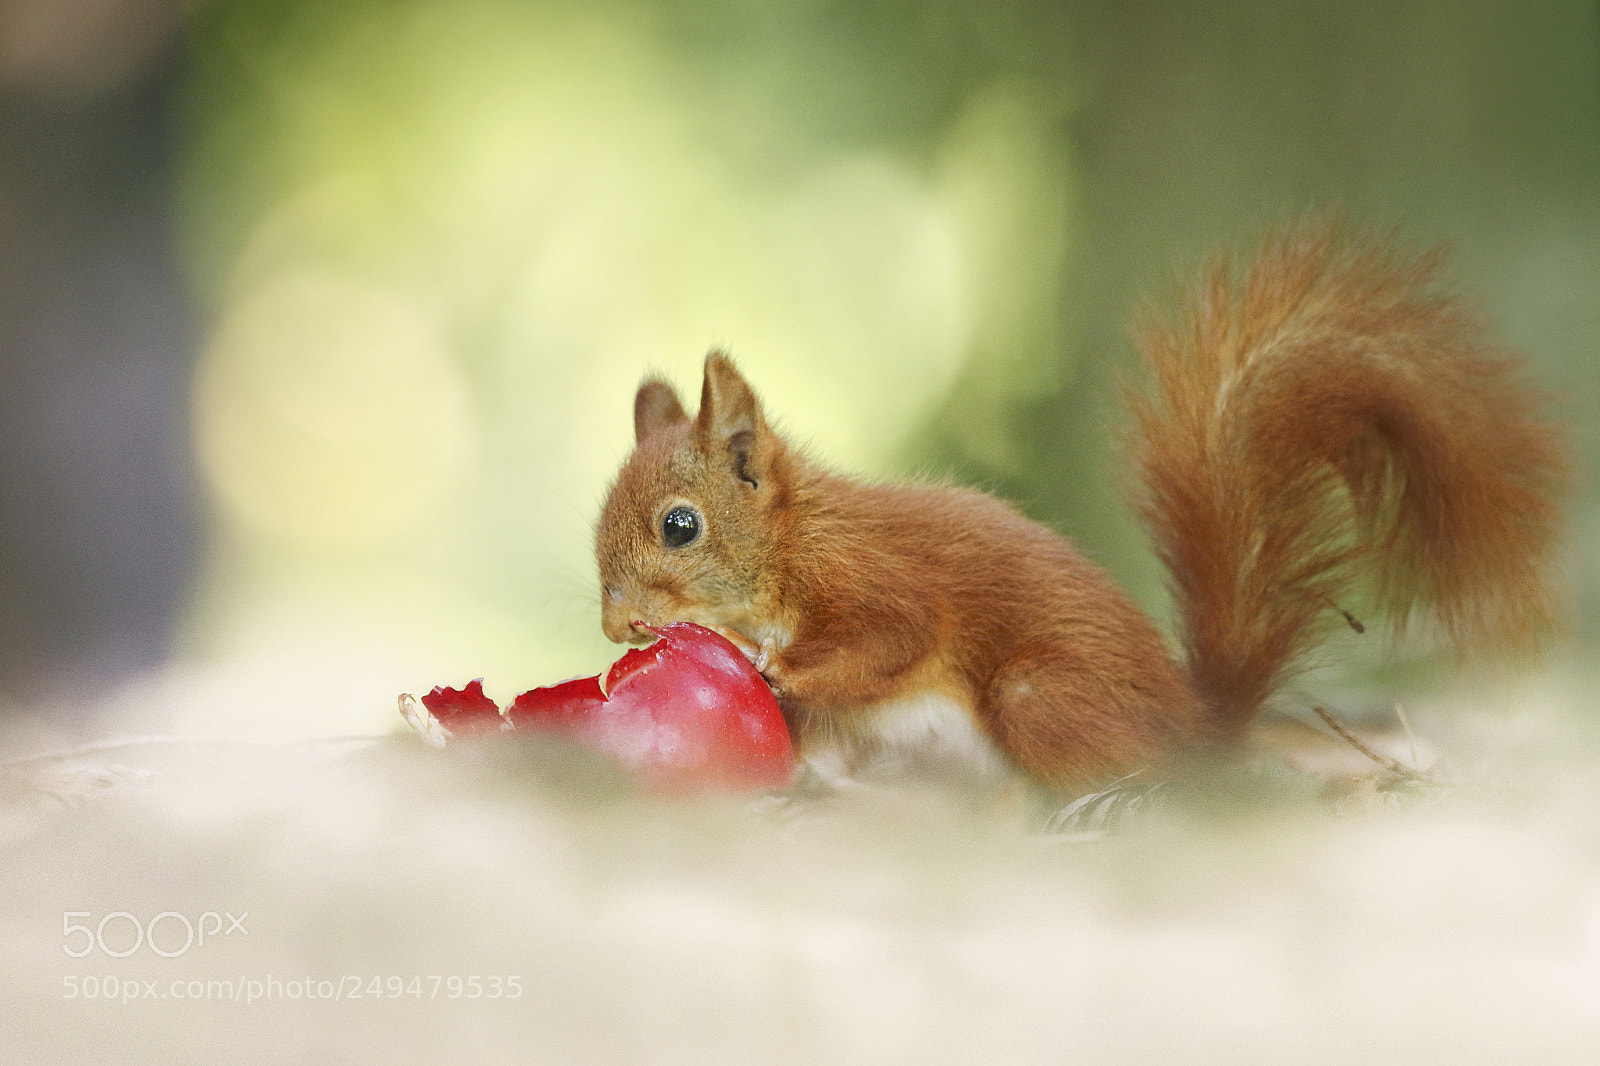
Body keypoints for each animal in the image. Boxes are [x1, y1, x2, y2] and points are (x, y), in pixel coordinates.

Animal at [593, 224, 1569, 792]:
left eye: (680, 526)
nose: (616, 629)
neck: (789, 548)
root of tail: (1199, 733)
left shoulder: (873, 579)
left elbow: (894, 639)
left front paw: (776, 666)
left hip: (1038, 699)